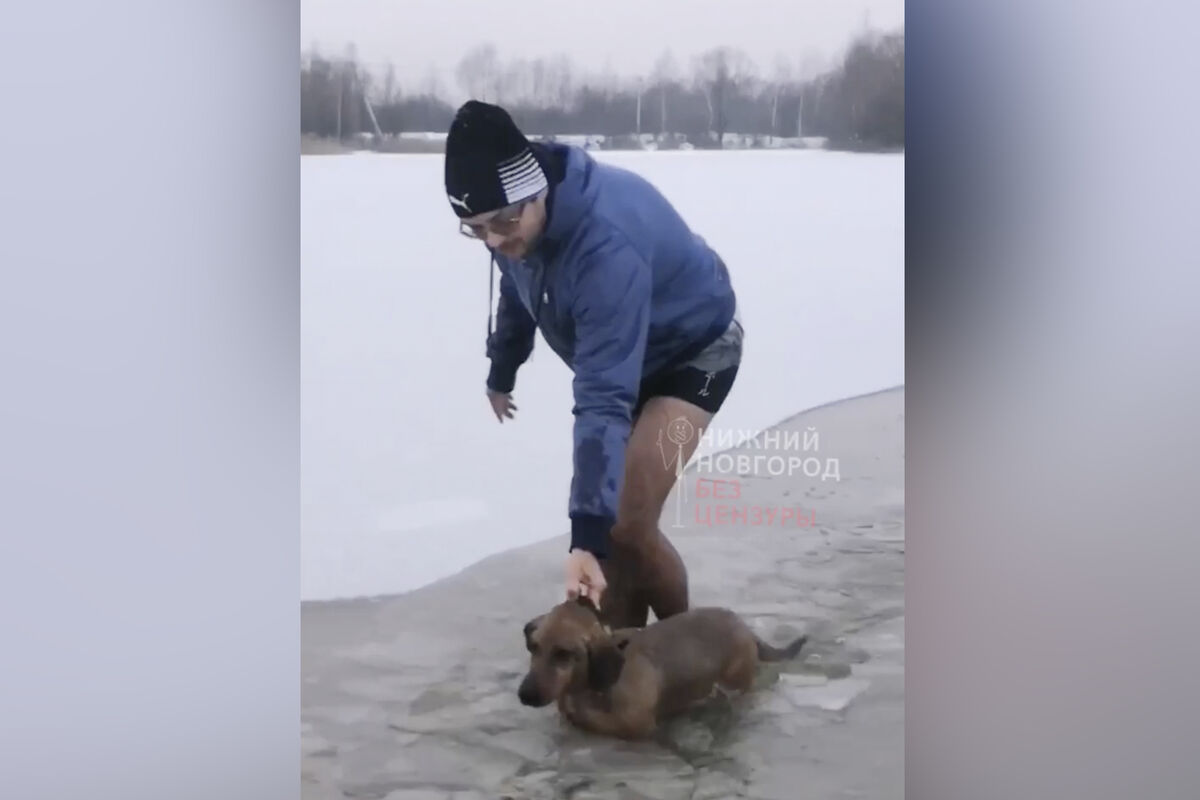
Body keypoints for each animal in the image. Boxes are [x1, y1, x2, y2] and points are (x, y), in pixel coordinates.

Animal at [516, 597, 806, 743]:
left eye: (563, 654)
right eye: (534, 646)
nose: (525, 695)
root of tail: (744, 626)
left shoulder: (637, 726)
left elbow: (597, 722)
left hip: (735, 682)